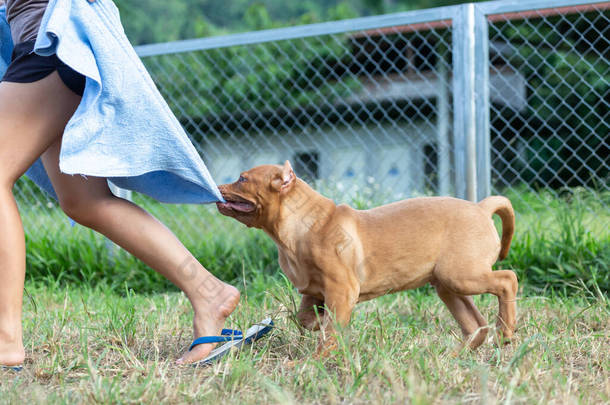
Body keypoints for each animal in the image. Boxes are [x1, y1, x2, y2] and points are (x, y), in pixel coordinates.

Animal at [216, 161, 516, 354]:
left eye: (242, 179)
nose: (217, 187)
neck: (299, 224)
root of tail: (480, 208)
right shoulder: (314, 291)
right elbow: (306, 318)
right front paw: (318, 322)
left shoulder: (342, 289)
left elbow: (329, 334)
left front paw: (315, 360)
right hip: (447, 284)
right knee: (475, 324)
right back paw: (455, 355)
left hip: (462, 275)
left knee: (507, 280)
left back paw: (506, 331)